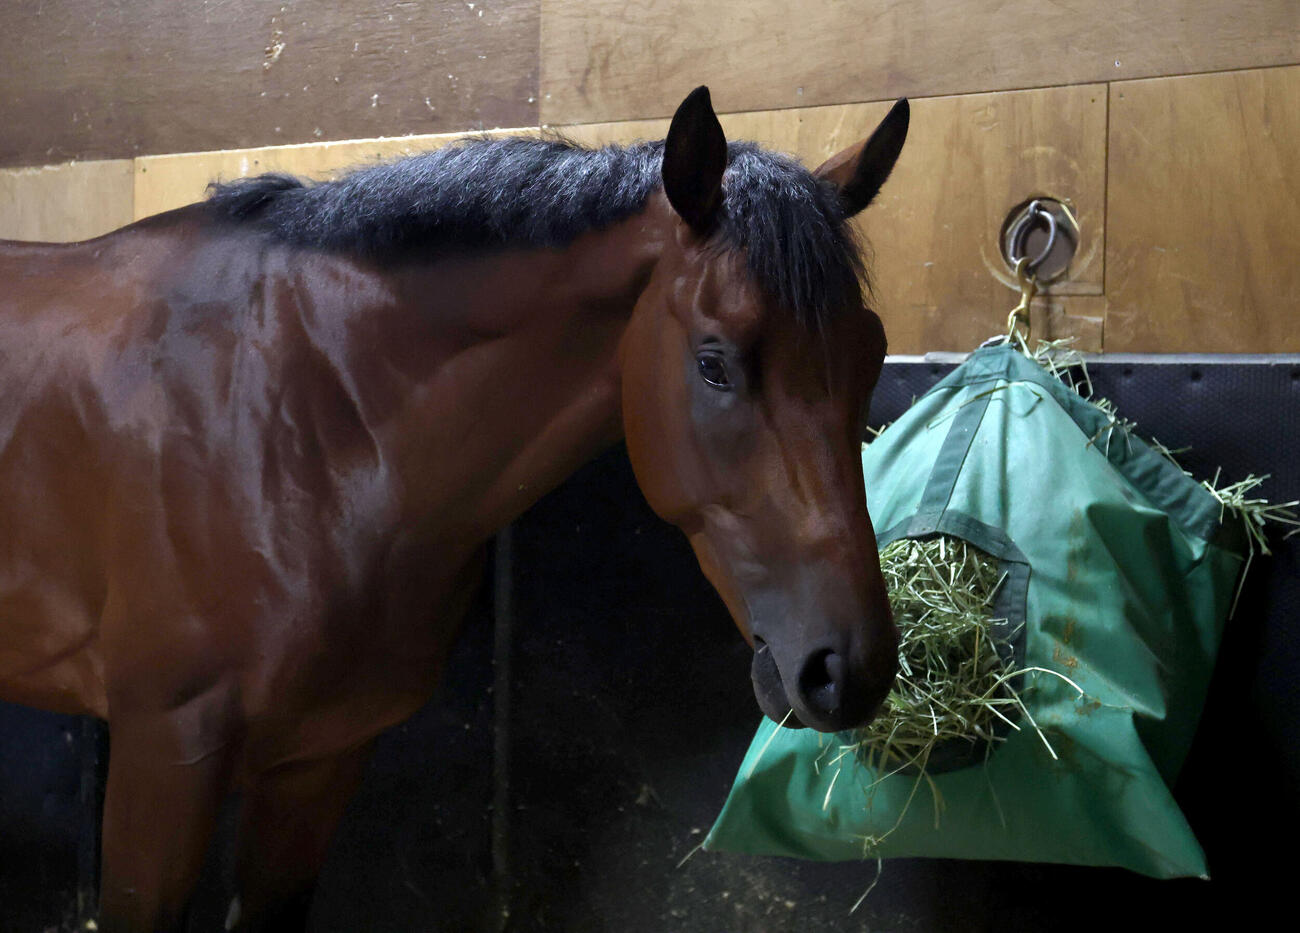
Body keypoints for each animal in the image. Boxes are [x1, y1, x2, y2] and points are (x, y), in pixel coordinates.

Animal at [0, 86, 908, 932]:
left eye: (870, 352)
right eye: (715, 363)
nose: (849, 668)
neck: (294, 424)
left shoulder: (320, 759)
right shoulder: (164, 753)